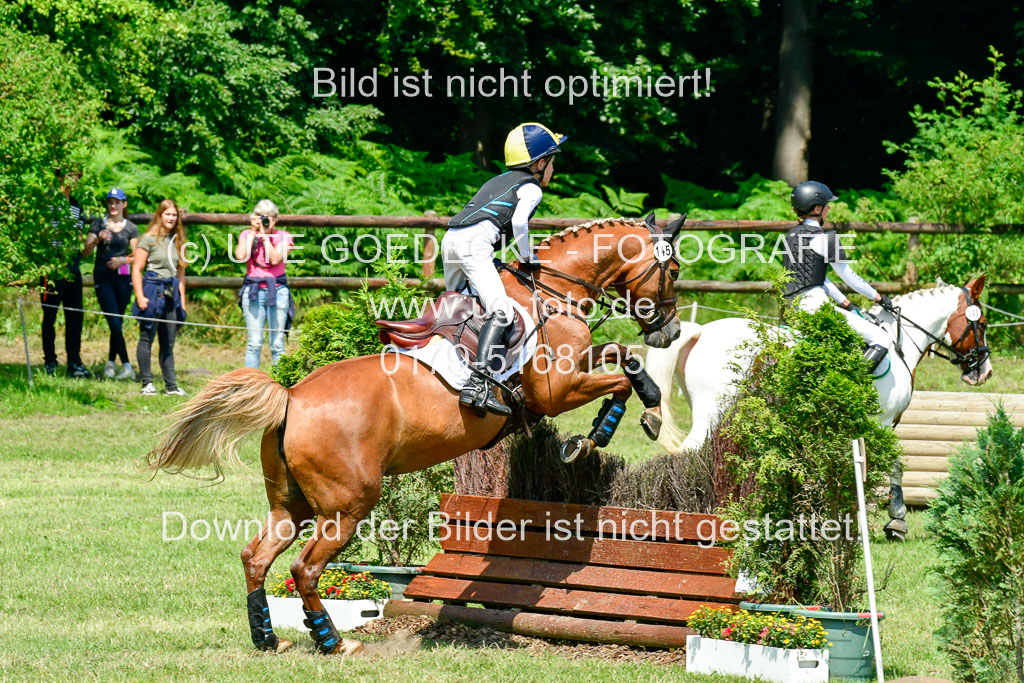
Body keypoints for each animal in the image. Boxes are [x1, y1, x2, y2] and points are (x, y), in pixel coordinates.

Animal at [147, 216, 685, 654]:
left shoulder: (574, 368)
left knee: (256, 557)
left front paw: (638, 407)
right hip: (348, 504)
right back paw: (333, 643)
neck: (552, 293)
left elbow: (620, 353)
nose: (671, 332)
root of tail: (292, 398)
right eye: (675, 271)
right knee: (305, 569)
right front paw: (607, 430)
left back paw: (267, 637)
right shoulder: (554, 391)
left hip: (291, 504)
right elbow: (620, 377)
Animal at [645, 276, 992, 541]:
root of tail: (703, 330)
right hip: (714, 410)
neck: (898, 344)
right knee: (689, 453)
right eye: (983, 324)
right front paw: (896, 521)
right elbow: (892, 466)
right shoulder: (882, 422)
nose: (984, 373)